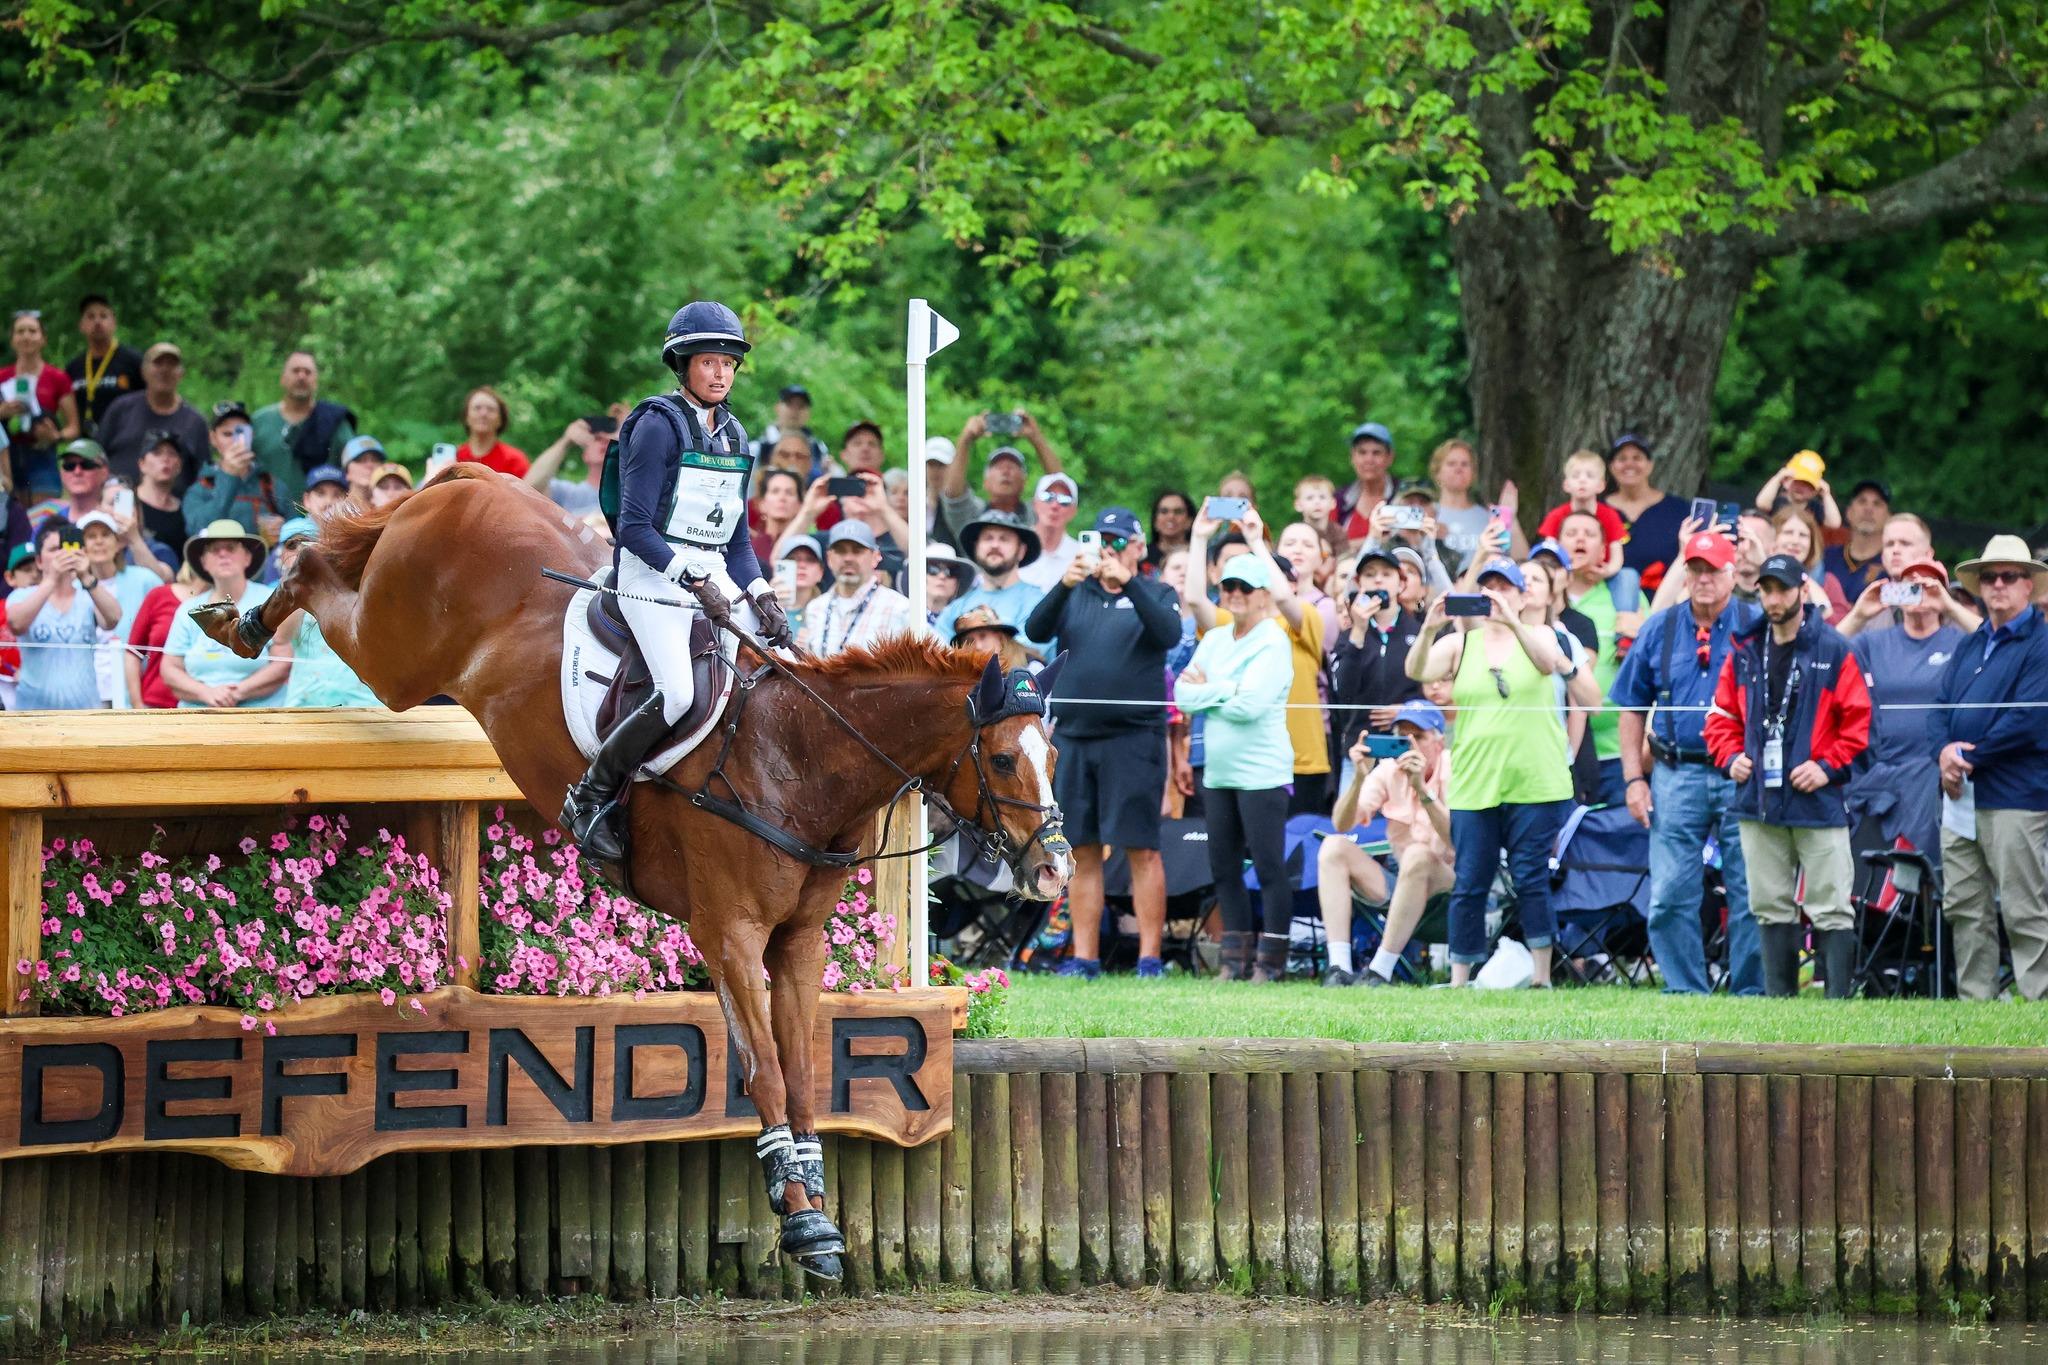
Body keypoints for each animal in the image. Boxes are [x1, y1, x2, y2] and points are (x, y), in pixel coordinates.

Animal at [192, 466, 1073, 1285]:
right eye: (1002, 758)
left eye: (1056, 753)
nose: (1055, 869)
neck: (799, 756)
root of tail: (472, 481)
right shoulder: (730, 933)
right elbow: (763, 1070)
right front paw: (799, 1219)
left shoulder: (796, 942)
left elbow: (802, 1070)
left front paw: (814, 1208)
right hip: (392, 648)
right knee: (315, 567)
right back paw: (234, 620)